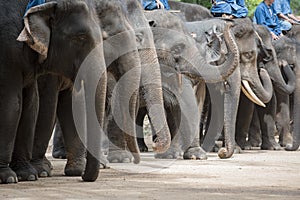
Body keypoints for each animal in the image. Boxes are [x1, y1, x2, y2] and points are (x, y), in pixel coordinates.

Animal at [0, 0, 108, 184]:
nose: (84, 177)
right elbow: (13, 105)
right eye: (81, 37)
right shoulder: (7, 54)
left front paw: (28, 175)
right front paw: (9, 177)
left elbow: (32, 106)